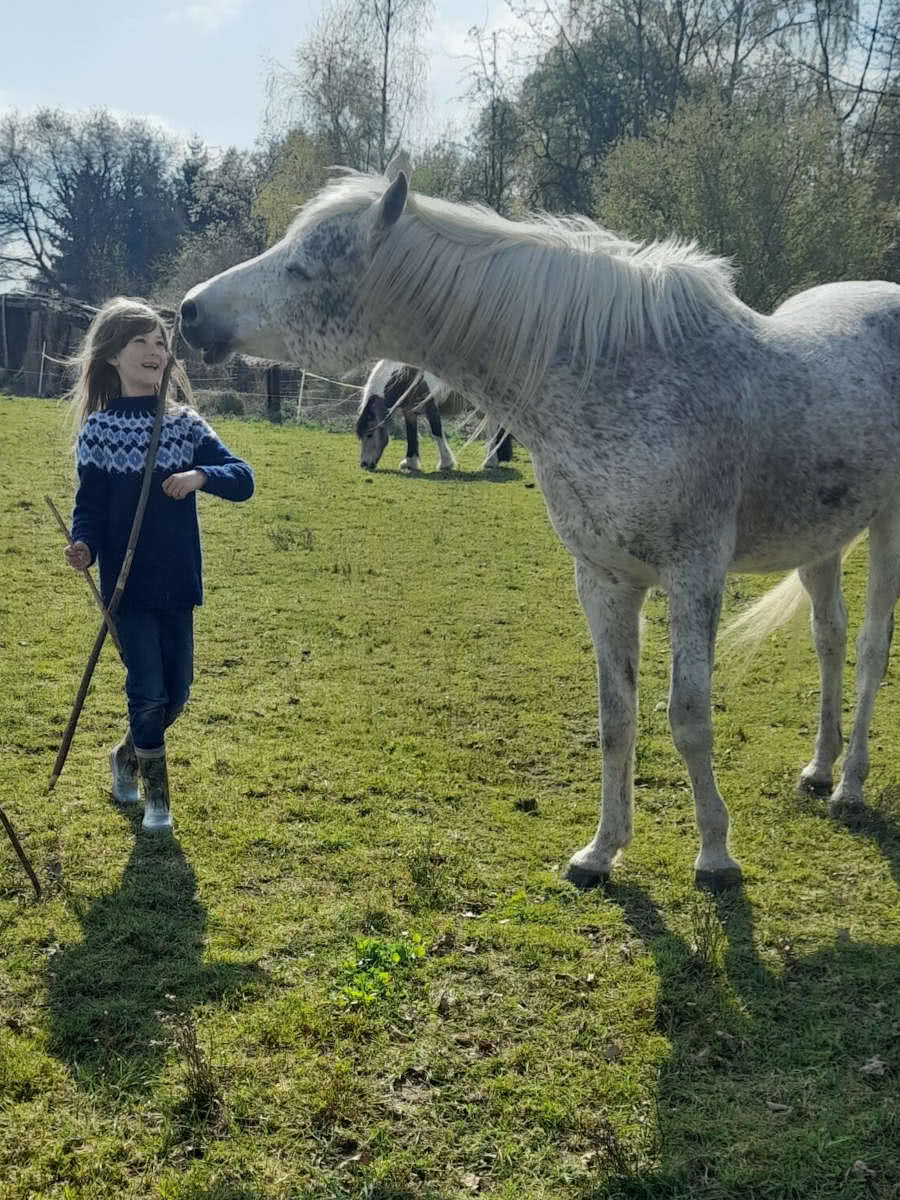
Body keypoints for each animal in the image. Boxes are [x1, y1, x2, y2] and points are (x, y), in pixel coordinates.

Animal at [357, 357, 513, 470]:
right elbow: (411, 434)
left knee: (492, 427)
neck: (408, 374)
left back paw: (490, 461)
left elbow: (436, 431)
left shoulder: (430, 406)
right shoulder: (409, 411)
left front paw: (446, 463)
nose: (364, 464)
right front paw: (410, 462)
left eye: (369, 434)